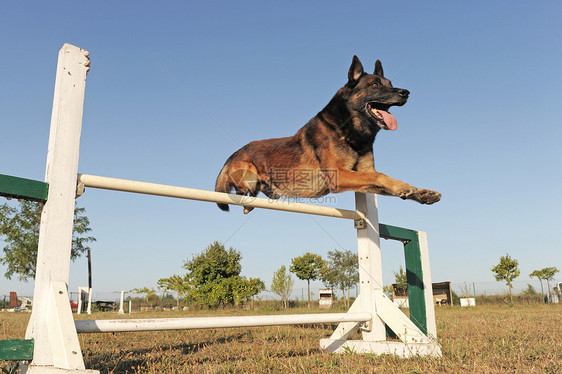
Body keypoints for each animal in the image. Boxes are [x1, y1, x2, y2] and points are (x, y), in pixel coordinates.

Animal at [213, 56, 438, 213]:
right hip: (249, 176)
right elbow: (381, 175)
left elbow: (383, 180)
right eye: (375, 84)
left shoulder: (363, 175)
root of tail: (232, 155)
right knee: (243, 195)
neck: (349, 131)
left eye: (390, 84)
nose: (406, 93)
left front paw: (419, 192)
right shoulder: (340, 175)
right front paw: (407, 189)